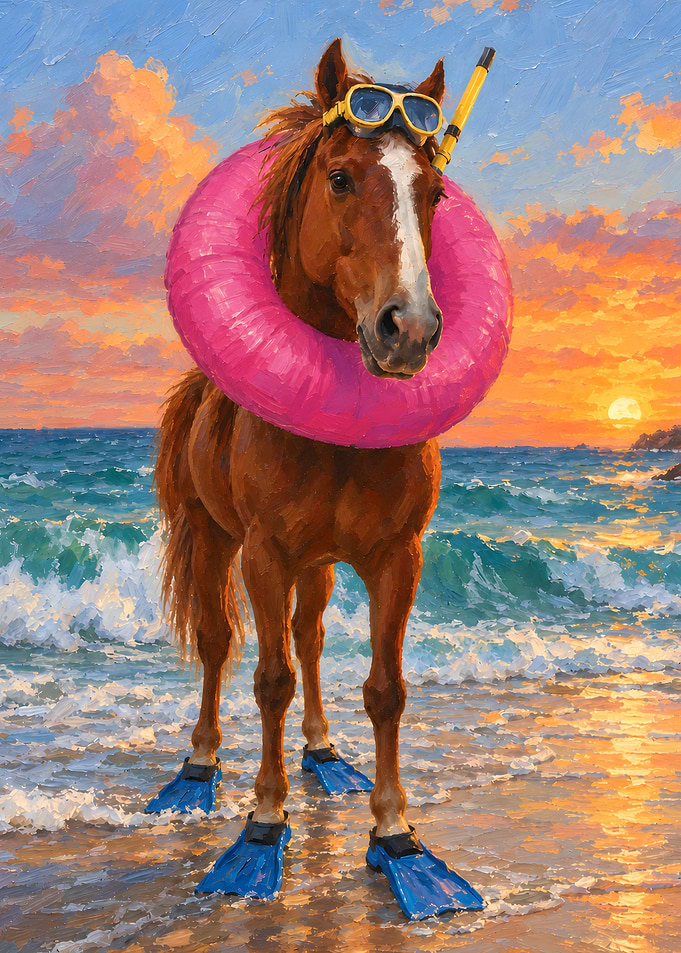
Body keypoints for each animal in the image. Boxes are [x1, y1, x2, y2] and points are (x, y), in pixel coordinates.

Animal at [149, 39, 482, 916]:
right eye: (338, 178)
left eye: (433, 191)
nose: (409, 330)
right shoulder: (264, 553)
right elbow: (268, 678)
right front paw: (263, 826)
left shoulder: (397, 556)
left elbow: (384, 686)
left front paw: (397, 837)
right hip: (212, 538)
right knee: (219, 643)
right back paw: (199, 765)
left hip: (321, 565)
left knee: (310, 637)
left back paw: (325, 753)